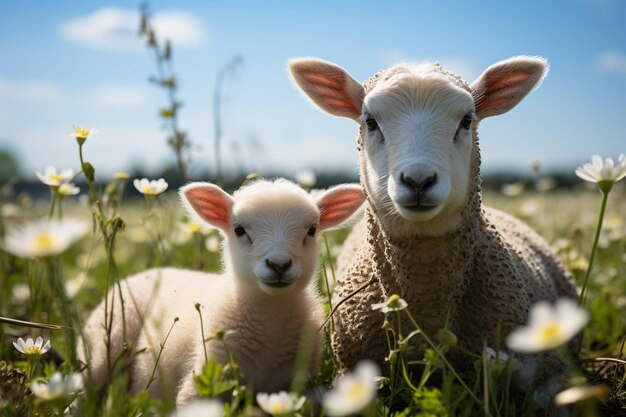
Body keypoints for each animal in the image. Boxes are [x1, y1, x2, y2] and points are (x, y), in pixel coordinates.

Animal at [81, 178, 368, 404]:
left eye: (311, 230)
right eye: (239, 230)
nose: (279, 265)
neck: (269, 314)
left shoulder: (299, 384)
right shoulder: (205, 380)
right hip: (105, 344)